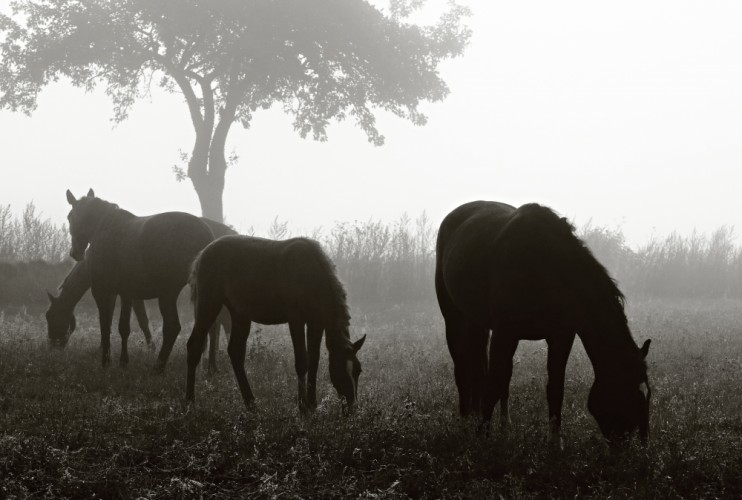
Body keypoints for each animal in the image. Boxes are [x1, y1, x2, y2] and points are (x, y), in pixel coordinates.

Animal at [45, 216, 235, 372]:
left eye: (50, 316)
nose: (52, 346)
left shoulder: (125, 294)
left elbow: (139, 320)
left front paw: (149, 348)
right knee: (217, 324)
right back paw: (211, 364)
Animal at [64, 189, 215, 370]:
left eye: (70, 216)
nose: (75, 252)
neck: (105, 228)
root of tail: (207, 235)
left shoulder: (102, 290)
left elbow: (106, 325)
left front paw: (106, 361)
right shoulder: (126, 293)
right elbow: (123, 327)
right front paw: (122, 361)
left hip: (168, 293)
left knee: (172, 327)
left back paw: (159, 366)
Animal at [186, 236, 366, 412]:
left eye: (358, 370)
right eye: (339, 369)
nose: (352, 406)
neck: (311, 273)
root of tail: (202, 255)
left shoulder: (316, 322)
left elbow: (314, 361)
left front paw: (313, 404)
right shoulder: (296, 320)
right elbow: (302, 361)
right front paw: (303, 406)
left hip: (240, 314)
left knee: (235, 352)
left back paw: (251, 404)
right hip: (209, 305)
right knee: (194, 346)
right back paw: (189, 401)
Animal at [438, 201, 652, 448]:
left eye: (648, 394)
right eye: (628, 394)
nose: (637, 446)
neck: (544, 266)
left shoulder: (560, 336)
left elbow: (554, 388)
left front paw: (555, 444)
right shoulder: (504, 333)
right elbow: (491, 386)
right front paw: (482, 438)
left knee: (499, 375)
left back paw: (504, 426)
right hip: (455, 320)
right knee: (464, 370)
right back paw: (466, 422)